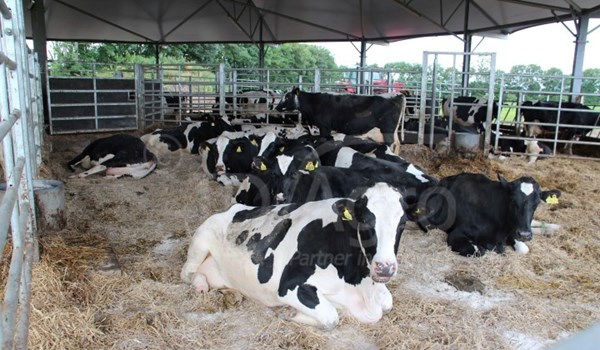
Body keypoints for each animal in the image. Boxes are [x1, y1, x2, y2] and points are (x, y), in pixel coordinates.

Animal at [182, 182, 408, 330]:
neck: (360, 284)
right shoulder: (290, 286)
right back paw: (201, 284)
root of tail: (235, 208)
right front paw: (288, 312)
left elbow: (387, 302)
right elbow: (331, 318)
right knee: (188, 273)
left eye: (402, 223)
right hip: (201, 241)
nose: (385, 267)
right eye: (363, 220)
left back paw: (232, 294)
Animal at [274, 86, 406, 152]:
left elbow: (324, 140)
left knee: (390, 143)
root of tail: (398, 95)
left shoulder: (324, 127)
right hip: (392, 130)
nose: (277, 107)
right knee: (397, 143)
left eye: (288, 96)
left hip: (387, 129)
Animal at [414, 173, 560, 258]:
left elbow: (524, 248)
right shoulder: (456, 234)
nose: (524, 234)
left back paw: (554, 227)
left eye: (537, 203)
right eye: (513, 200)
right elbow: (480, 250)